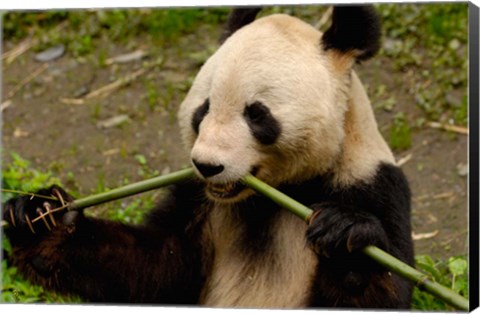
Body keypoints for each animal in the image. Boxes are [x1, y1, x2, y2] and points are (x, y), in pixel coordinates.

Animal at [2, 5, 412, 310]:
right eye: (204, 109)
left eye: (257, 115)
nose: (208, 165)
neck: (272, 196)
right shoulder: (196, 196)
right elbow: (154, 267)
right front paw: (43, 217)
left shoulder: (369, 182)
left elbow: (379, 289)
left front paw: (345, 236)